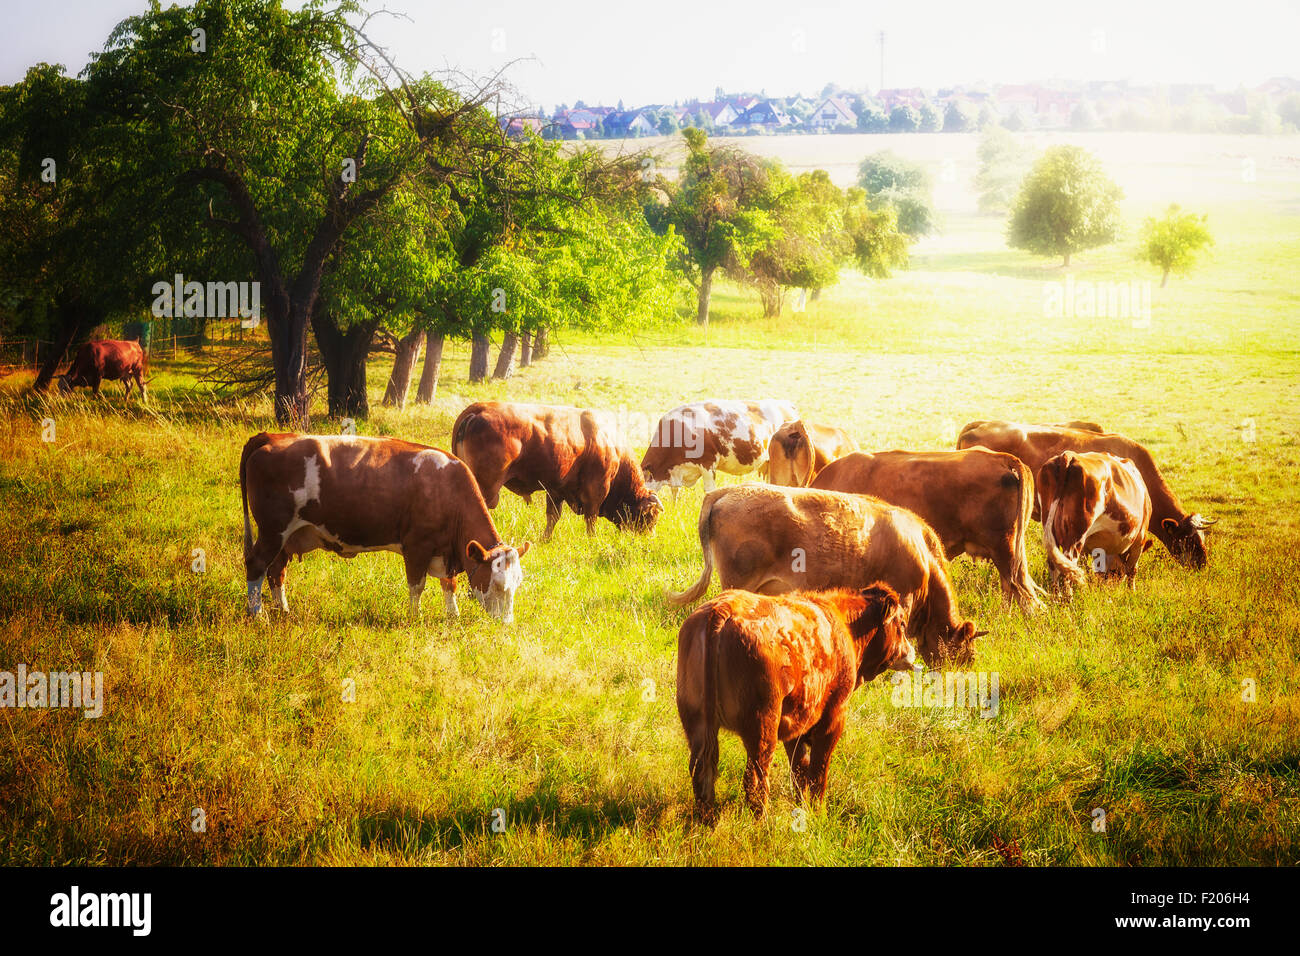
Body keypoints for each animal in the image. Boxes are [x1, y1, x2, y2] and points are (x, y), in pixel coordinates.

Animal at [240, 432, 530, 622]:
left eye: (518, 583)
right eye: (498, 584)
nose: (506, 624)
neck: (449, 488)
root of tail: (271, 436)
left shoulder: (446, 550)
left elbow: (450, 584)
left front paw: (453, 616)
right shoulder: (417, 546)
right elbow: (417, 586)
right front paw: (415, 618)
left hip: (286, 537)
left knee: (276, 571)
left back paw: (283, 610)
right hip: (273, 530)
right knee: (256, 564)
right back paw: (257, 615)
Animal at [450, 401, 663, 542]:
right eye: (650, 516)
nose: (649, 538)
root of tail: (479, 409)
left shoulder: (555, 490)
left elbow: (552, 517)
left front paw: (545, 539)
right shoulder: (596, 490)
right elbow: (591, 519)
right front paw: (592, 541)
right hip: (486, 489)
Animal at [676, 584, 915, 822]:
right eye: (902, 623)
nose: (910, 652)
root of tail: (723, 605)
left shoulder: (796, 722)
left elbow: (800, 770)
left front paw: (803, 808)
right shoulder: (834, 717)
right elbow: (818, 770)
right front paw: (818, 814)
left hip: (697, 720)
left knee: (701, 771)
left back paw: (707, 821)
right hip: (763, 724)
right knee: (755, 779)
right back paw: (763, 824)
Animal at [1036, 450, 1154, 597]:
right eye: (1116, 573)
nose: (1112, 588)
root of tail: (1069, 455)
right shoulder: (1140, 538)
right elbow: (1132, 569)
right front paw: (1131, 592)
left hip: (1051, 525)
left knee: (1055, 564)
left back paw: (1056, 597)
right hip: (1076, 535)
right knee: (1068, 564)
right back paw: (1069, 598)